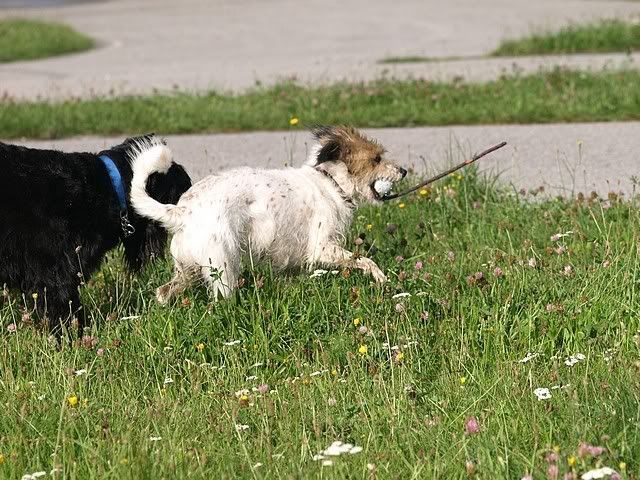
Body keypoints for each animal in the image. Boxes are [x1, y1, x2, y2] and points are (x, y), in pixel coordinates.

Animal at [129, 126, 406, 303]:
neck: (330, 183)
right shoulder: (322, 248)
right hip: (222, 266)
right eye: (376, 159)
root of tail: (183, 211)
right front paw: (381, 278)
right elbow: (365, 260)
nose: (403, 171)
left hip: (188, 270)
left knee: (163, 292)